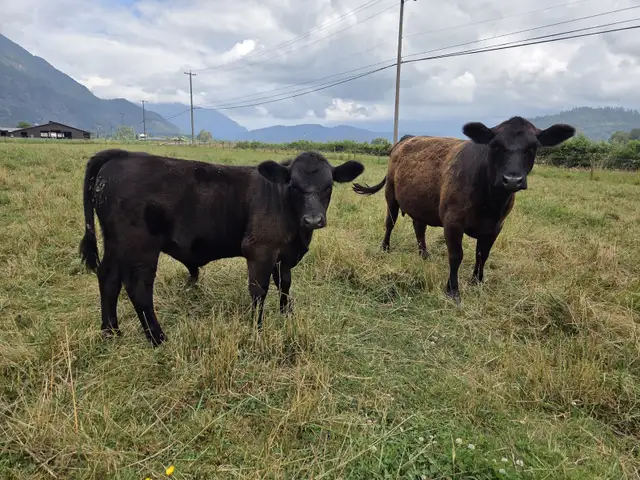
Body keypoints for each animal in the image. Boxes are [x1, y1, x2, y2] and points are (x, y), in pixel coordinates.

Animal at [79, 149, 364, 346]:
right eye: (294, 185)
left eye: (328, 186)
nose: (313, 220)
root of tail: (123, 155)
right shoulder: (260, 251)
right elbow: (259, 291)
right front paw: (256, 329)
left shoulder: (283, 255)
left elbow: (285, 284)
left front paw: (286, 316)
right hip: (139, 247)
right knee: (138, 289)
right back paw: (158, 338)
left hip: (115, 244)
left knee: (108, 279)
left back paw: (111, 331)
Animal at [352, 116, 575, 303]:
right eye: (495, 146)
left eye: (533, 147)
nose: (512, 179)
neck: (490, 203)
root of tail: (407, 138)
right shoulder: (453, 222)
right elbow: (456, 255)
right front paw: (452, 291)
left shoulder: (496, 226)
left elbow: (482, 254)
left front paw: (477, 280)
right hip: (391, 195)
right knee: (390, 222)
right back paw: (385, 247)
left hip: (420, 202)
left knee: (419, 227)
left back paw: (424, 254)